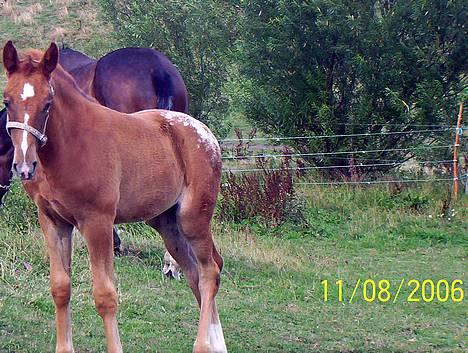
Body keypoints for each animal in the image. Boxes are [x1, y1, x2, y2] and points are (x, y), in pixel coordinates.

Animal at [2, 41, 227, 352]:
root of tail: (205, 133)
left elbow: (105, 295)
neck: (72, 144)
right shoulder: (52, 220)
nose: (24, 166)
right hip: (166, 224)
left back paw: (203, 345)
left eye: (47, 103)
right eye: (7, 101)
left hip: (193, 219)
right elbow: (60, 287)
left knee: (209, 272)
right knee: (195, 273)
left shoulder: (98, 222)